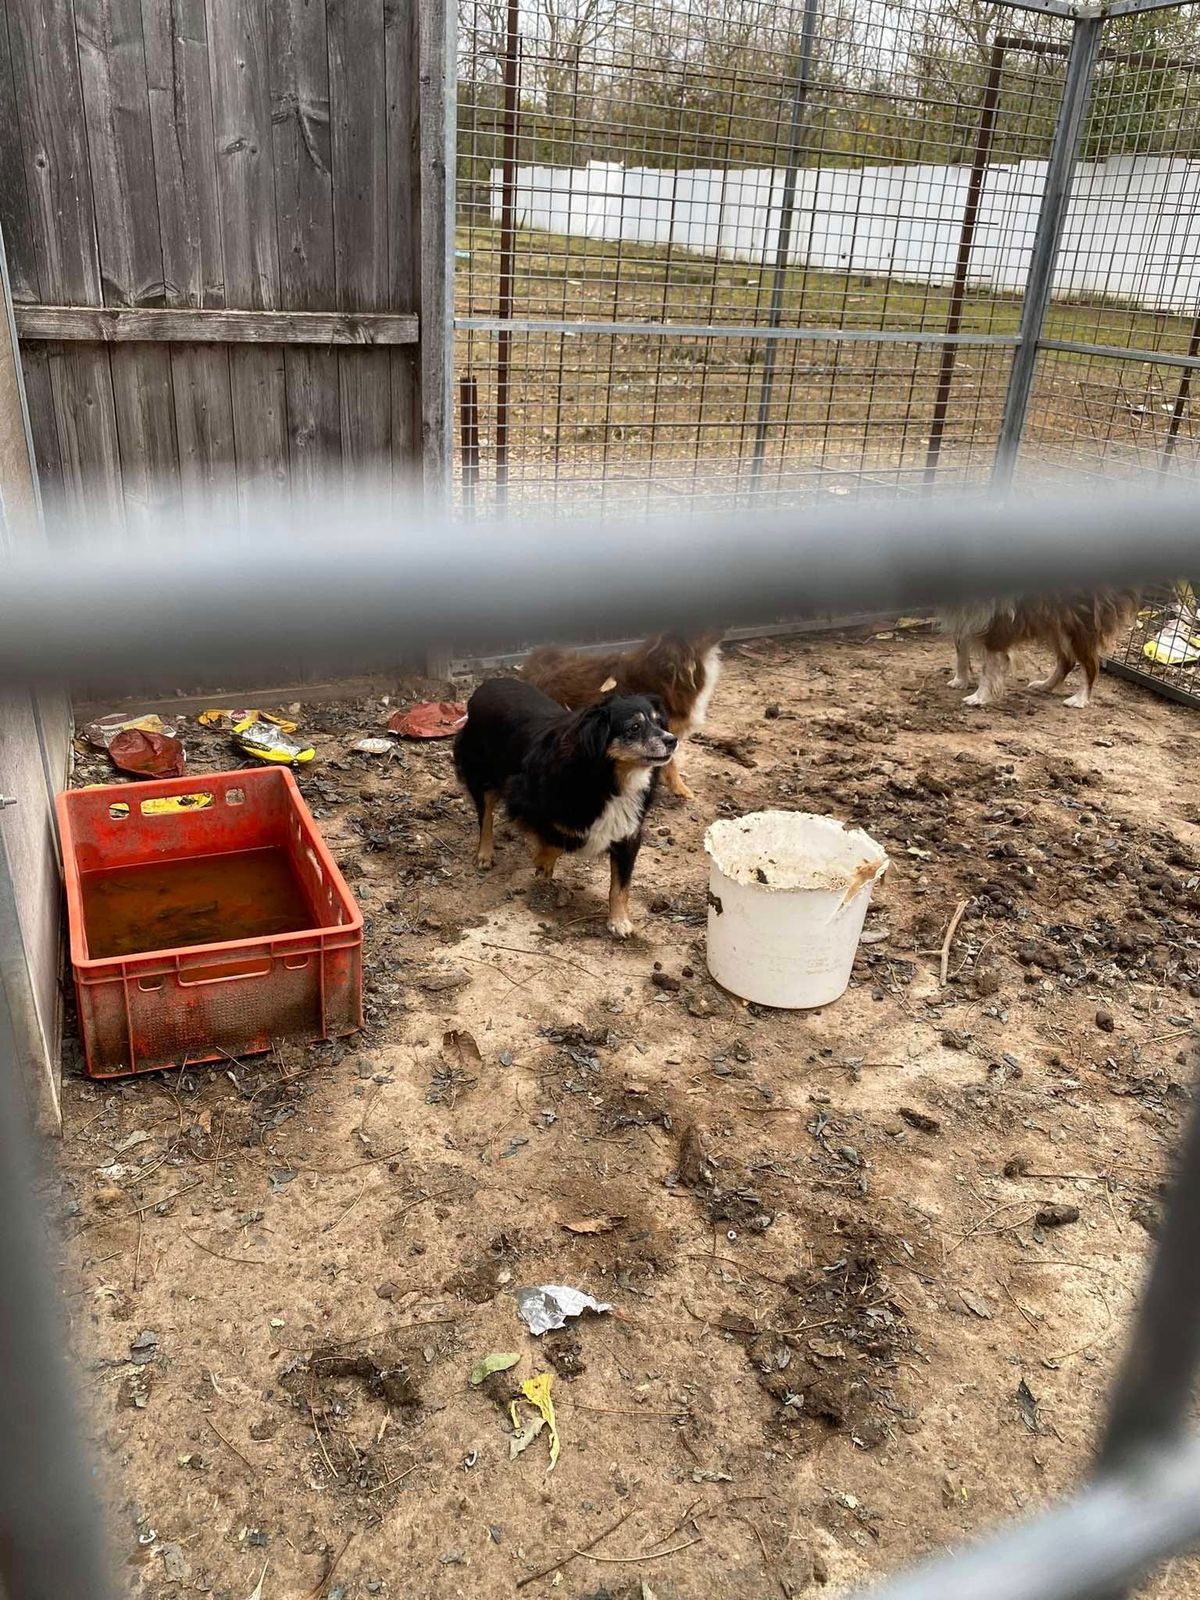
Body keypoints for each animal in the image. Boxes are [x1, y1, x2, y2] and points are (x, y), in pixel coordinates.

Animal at [454, 675, 678, 934]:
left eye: (659, 722)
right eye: (634, 727)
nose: (672, 740)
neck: (610, 779)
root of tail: (486, 685)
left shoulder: (627, 831)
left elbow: (621, 885)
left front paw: (619, 920)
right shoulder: (522, 798)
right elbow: (556, 842)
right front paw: (542, 862)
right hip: (482, 774)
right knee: (486, 816)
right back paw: (485, 853)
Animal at [947, 592, 1139, 710]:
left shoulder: (998, 623)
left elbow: (989, 667)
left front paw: (979, 697)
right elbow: (961, 653)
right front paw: (960, 681)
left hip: (1077, 622)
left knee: (1091, 665)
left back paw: (1080, 699)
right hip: (1055, 622)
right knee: (1067, 661)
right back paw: (1045, 685)